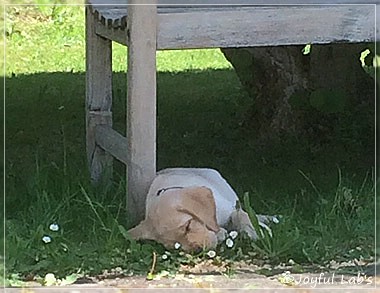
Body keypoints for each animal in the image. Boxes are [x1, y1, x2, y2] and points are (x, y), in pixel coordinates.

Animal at [127, 168, 276, 250]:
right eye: (176, 246)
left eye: (187, 226)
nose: (198, 250)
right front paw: (221, 233)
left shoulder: (229, 208)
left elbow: (240, 215)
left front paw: (255, 229)